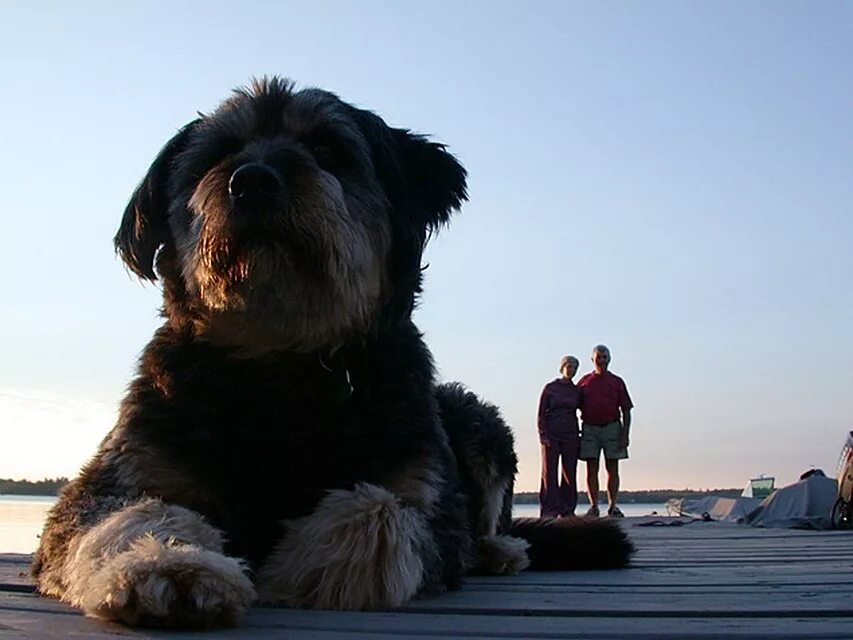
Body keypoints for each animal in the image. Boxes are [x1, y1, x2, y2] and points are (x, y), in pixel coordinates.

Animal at [31, 77, 632, 628]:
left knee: (492, 523)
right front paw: (171, 567)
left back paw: (502, 550)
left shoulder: (428, 497)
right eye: (217, 155)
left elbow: (378, 510)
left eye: (327, 150)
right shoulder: (117, 477)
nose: (252, 181)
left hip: (477, 418)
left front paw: (293, 566)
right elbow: (132, 515)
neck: (279, 363)